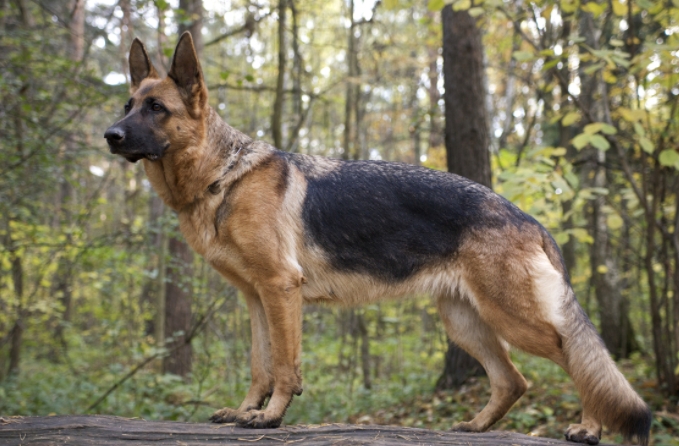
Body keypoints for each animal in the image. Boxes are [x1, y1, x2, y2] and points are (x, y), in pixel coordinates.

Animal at [105, 33, 652, 444]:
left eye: (156, 108)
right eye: (129, 105)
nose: (110, 135)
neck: (222, 175)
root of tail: (529, 219)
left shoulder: (280, 290)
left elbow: (284, 365)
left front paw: (272, 416)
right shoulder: (257, 298)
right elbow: (260, 364)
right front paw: (245, 411)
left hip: (514, 319)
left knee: (574, 357)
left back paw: (588, 427)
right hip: (465, 323)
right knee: (512, 380)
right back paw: (476, 426)